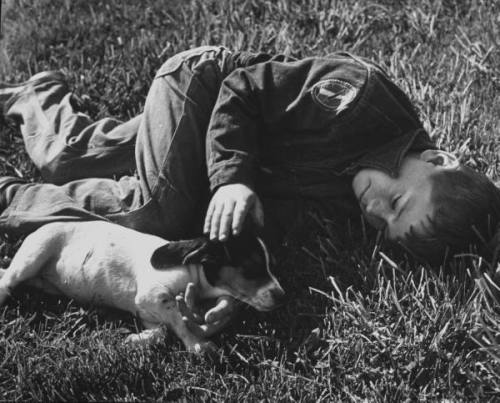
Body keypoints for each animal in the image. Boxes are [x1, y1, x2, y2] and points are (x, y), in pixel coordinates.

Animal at [0, 221, 284, 354]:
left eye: (271, 266)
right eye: (252, 270)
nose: (282, 296)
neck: (193, 271)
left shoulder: (146, 310)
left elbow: (163, 330)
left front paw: (137, 340)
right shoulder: (153, 296)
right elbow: (177, 321)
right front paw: (196, 344)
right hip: (33, 255)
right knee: (7, 280)